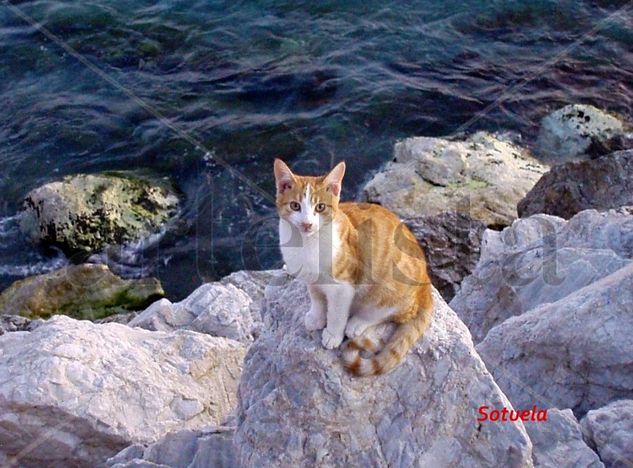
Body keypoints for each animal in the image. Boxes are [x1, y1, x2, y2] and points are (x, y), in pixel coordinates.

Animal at [274, 159, 432, 374]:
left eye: (320, 207)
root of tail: (426, 280)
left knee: (393, 313)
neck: (308, 245)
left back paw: (358, 322)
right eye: (295, 206)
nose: (307, 224)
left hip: (389, 286)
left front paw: (333, 334)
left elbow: (336, 312)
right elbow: (317, 299)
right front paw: (316, 317)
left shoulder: (343, 286)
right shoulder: (311, 280)